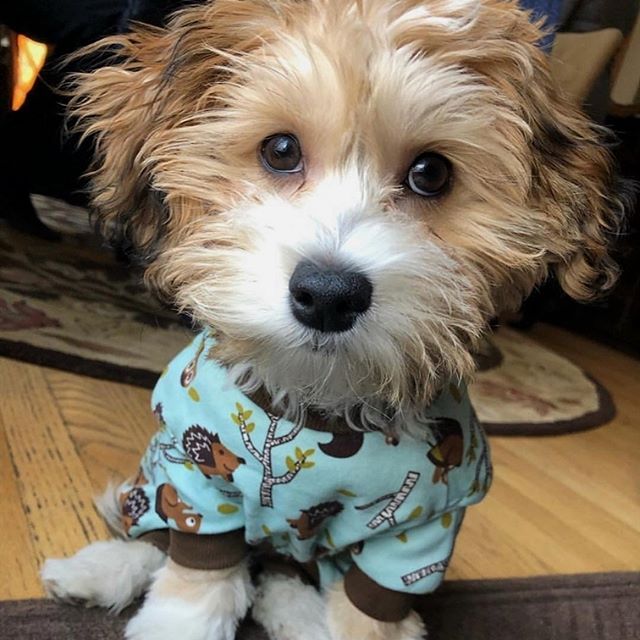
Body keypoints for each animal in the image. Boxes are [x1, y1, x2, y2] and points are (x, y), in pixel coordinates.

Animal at [41, 1, 624, 640]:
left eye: (431, 173)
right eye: (280, 150)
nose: (328, 295)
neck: (317, 402)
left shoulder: (418, 533)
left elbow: (369, 612)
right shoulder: (199, 479)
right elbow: (194, 577)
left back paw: (291, 608)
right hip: (164, 469)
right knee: (154, 531)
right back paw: (98, 571)